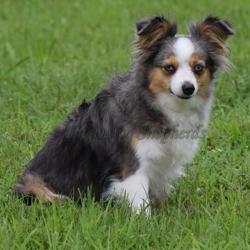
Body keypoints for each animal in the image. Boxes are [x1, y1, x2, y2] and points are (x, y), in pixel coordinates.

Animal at [15, 15, 234, 214]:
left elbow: (160, 195)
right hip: (38, 187)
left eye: (198, 68)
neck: (157, 103)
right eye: (169, 68)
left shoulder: (163, 165)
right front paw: (147, 226)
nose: (188, 88)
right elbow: (141, 204)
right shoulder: (132, 167)